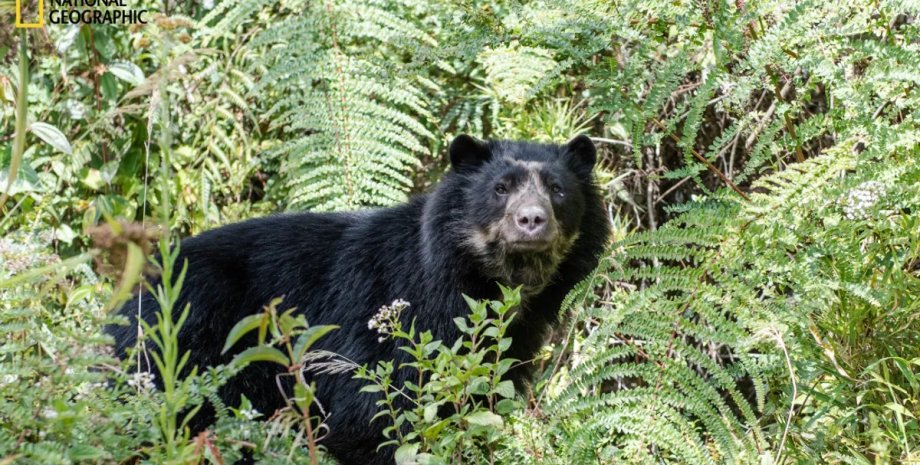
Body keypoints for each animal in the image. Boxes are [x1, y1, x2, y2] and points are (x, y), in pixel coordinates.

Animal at [108, 134, 612, 464]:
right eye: (500, 189)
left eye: (558, 190)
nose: (531, 221)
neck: (487, 283)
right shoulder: (389, 320)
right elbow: (369, 418)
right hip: (194, 345)